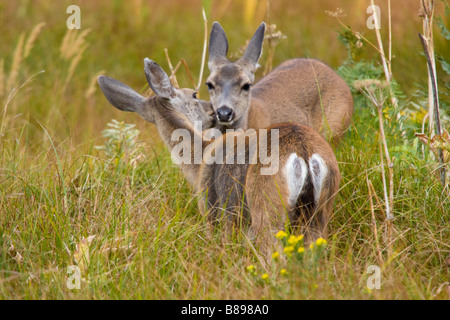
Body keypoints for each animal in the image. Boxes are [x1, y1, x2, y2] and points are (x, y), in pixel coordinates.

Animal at [96, 58, 340, 256]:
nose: (215, 111)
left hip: (267, 206)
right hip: (320, 211)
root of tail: (304, 153)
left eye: (193, 93)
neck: (200, 158)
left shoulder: (212, 210)